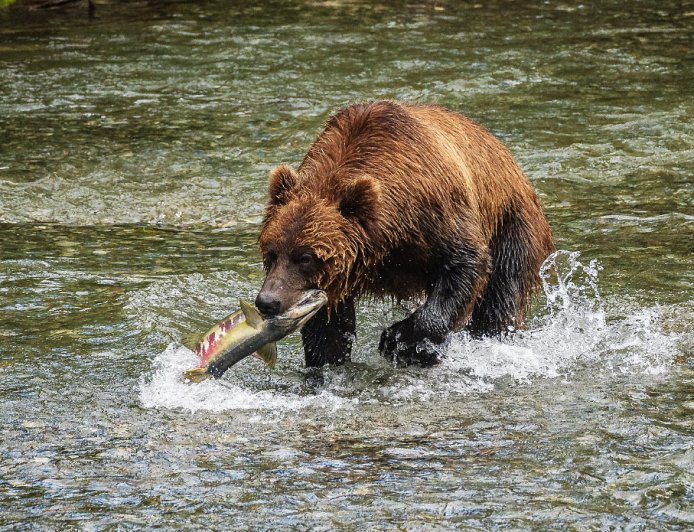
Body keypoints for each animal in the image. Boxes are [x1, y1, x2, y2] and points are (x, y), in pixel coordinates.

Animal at [255, 100, 554, 367]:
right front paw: (326, 363)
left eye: (305, 257)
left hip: (512, 223)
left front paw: (398, 341)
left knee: (501, 294)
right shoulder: (338, 276)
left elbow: (465, 265)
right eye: (271, 252)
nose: (267, 301)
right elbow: (328, 326)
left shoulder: (435, 212)